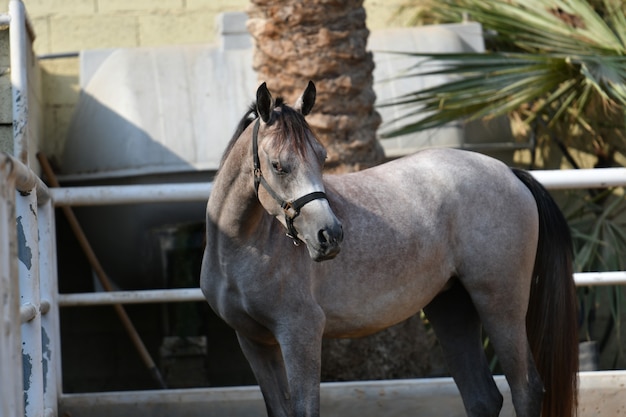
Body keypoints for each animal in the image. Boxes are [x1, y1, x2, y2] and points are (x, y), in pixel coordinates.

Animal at [200, 81, 576, 416]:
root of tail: (509, 172)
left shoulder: (300, 333)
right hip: (451, 306)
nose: (330, 235)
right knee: (483, 398)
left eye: (322, 157)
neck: (242, 247)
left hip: (500, 302)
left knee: (526, 389)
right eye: (279, 165)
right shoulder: (254, 343)